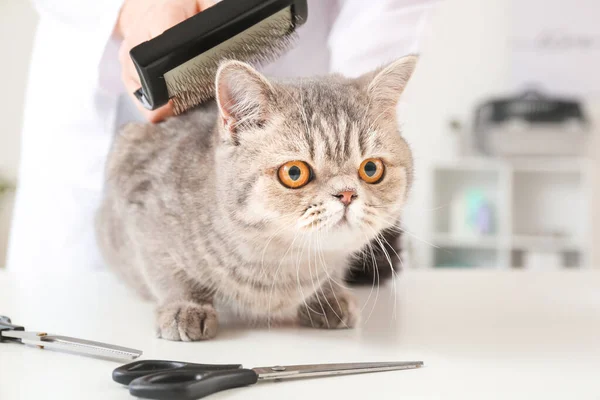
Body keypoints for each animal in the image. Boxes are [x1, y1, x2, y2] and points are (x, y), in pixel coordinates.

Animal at [97, 55, 418, 340]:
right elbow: (168, 273)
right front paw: (185, 306)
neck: (282, 266)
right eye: (294, 172)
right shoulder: (143, 215)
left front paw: (326, 297)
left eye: (371, 169)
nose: (347, 193)